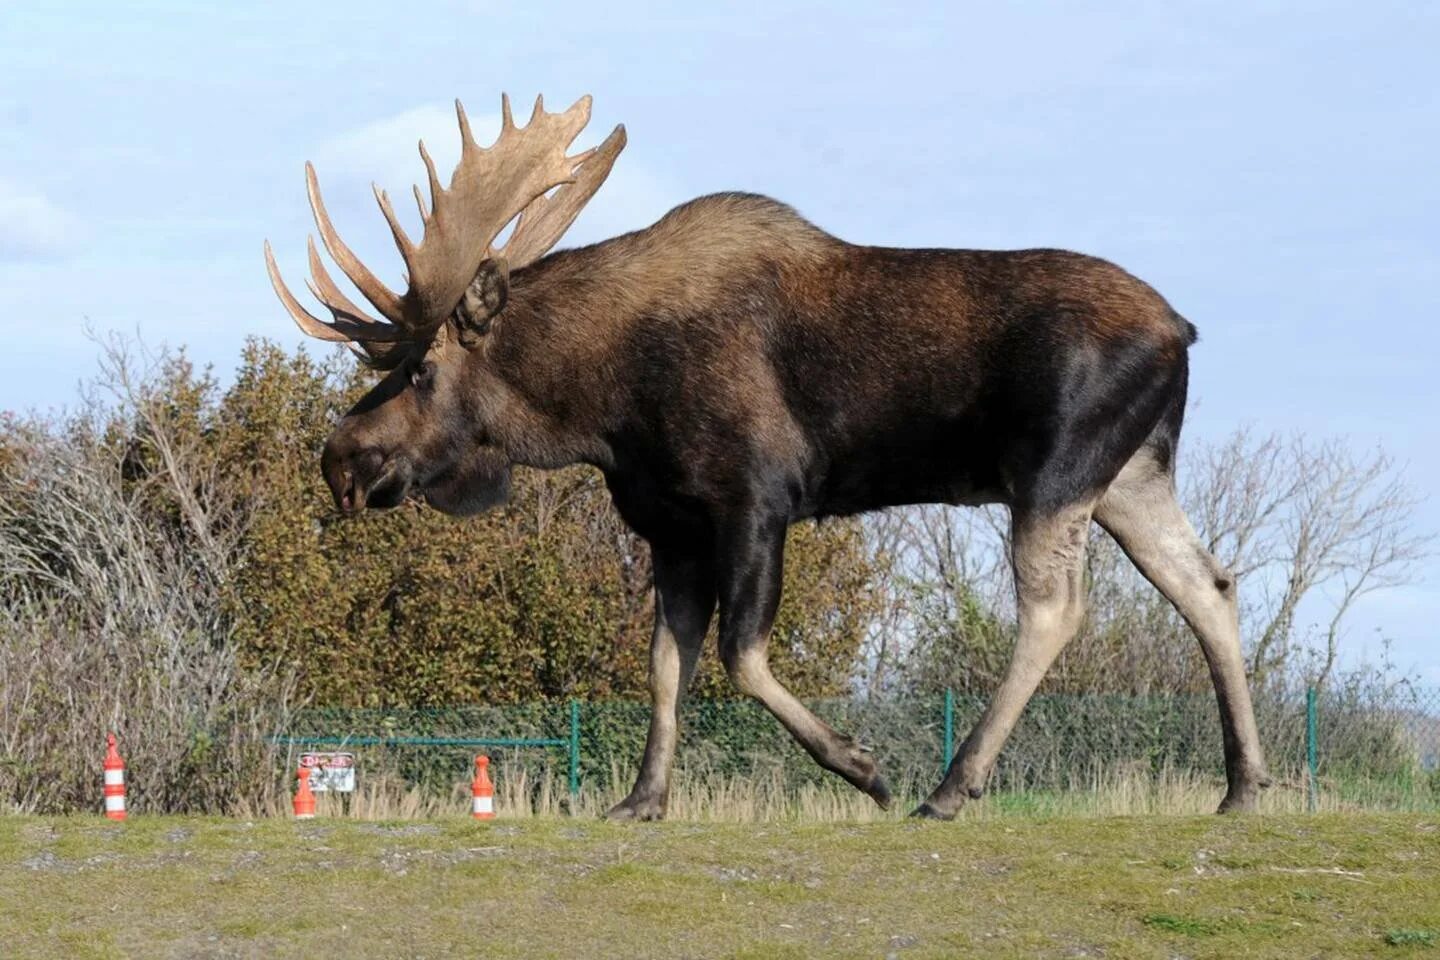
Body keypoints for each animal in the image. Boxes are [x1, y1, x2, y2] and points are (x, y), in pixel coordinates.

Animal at [264, 92, 1267, 817]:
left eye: (423, 368)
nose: (339, 460)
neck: (602, 406)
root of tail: (1182, 332)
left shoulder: (757, 497)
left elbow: (740, 655)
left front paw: (863, 769)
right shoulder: (669, 527)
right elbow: (667, 666)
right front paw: (642, 800)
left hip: (1055, 473)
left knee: (1057, 609)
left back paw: (951, 786)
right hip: (1130, 477)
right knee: (1208, 584)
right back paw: (1245, 784)